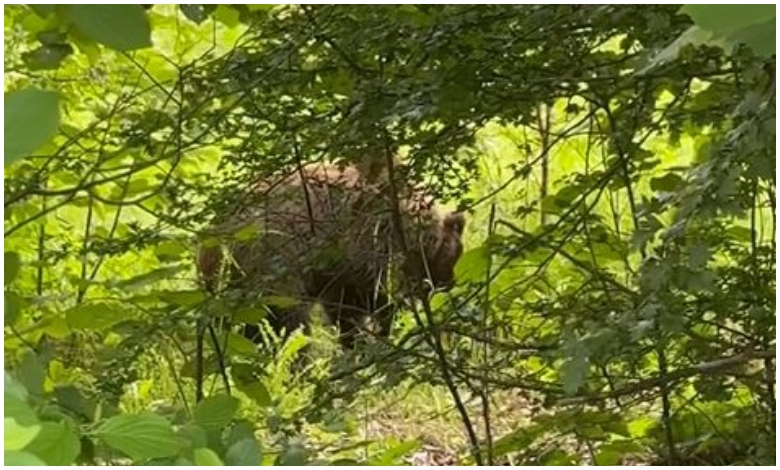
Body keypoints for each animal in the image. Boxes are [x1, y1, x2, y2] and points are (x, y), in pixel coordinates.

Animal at [198, 162, 466, 348]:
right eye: (454, 258)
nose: (450, 282)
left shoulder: (338, 270)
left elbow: (345, 308)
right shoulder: (364, 245)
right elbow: (374, 297)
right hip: (268, 264)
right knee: (287, 322)